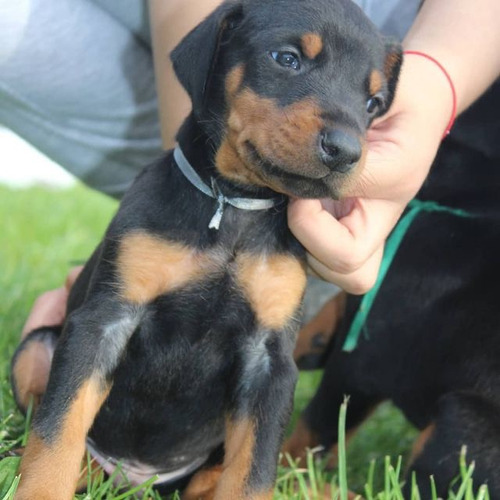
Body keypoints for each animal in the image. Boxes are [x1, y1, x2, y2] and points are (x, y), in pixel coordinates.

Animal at [10, 1, 402, 498]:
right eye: (287, 59)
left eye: (374, 103)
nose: (347, 151)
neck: (232, 204)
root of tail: (135, 480)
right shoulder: (103, 322)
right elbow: (58, 429)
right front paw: (39, 489)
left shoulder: (269, 361)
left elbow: (254, 473)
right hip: (36, 348)